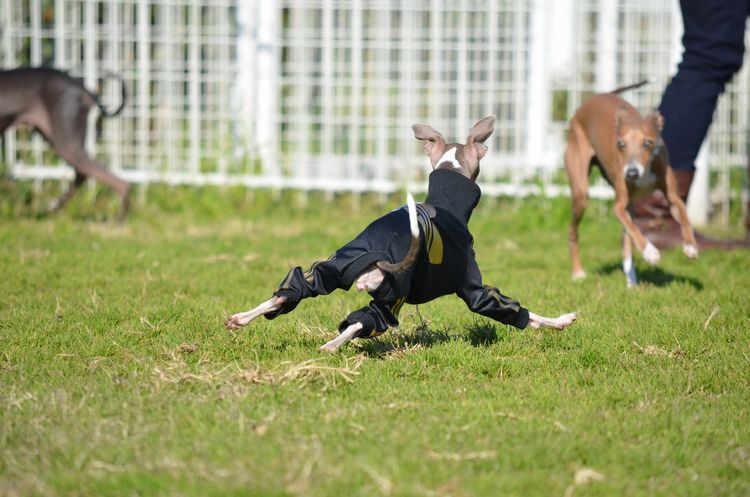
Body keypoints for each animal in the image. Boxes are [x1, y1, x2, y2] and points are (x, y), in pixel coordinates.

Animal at [226, 116, 580, 350]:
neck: (448, 202)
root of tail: (376, 257)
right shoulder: (473, 288)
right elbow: (517, 311)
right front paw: (562, 320)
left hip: (333, 267)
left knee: (296, 287)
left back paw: (241, 318)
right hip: (392, 293)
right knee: (365, 320)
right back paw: (331, 345)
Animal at [568, 83, 704, 284]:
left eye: (647, 143)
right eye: (620, 144)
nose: (631, 173)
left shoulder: (672, 198)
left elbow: (684, 217)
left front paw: (690, 246)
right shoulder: (618, 206)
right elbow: (631, 226)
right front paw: (650, 252)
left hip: (628, 203)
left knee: (626, 237)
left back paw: (631, 279)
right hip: (581, 193)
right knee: (574, 231)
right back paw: (577, 272)